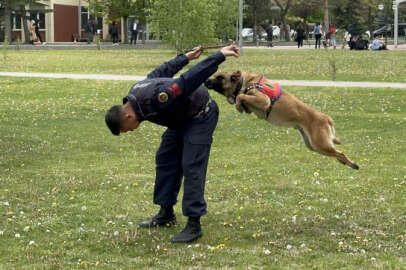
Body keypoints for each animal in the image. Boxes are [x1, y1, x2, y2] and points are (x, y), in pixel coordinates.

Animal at [205, 70, 360, 170]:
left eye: (219, 77)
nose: (206, 81)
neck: (245, 81)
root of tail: (326, 118)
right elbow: (241, 98)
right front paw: (239, 104)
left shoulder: (264, 100)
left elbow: (240, 96)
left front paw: (237, 104)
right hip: (313, 145)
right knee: (336, 152)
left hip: (319, 144)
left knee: (340, 152)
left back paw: (353, 164)